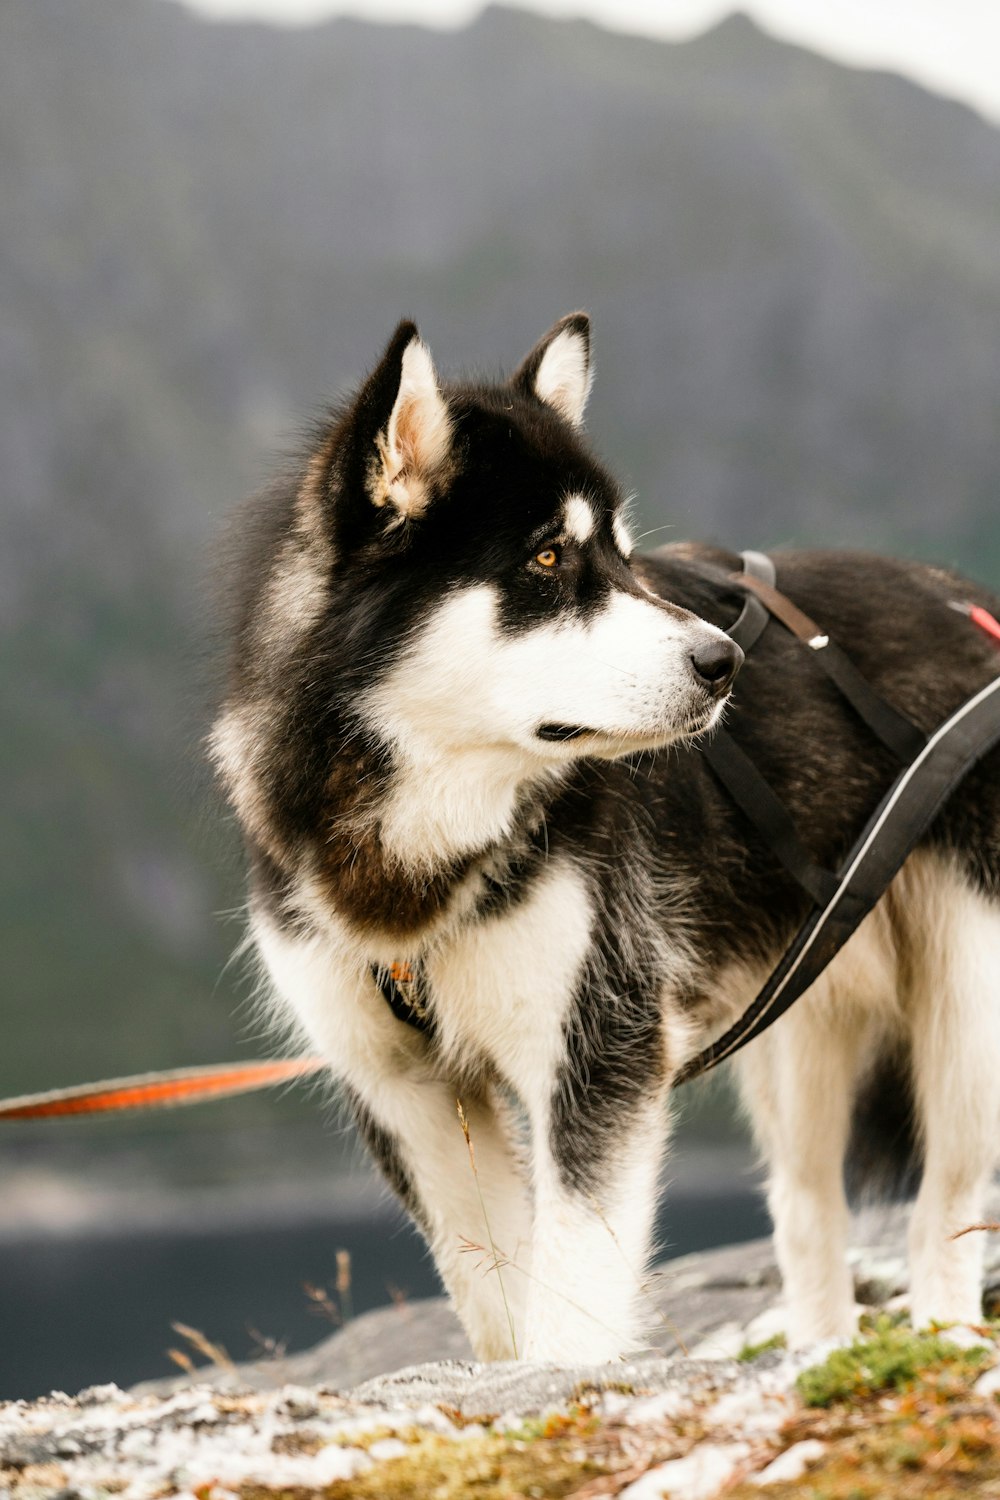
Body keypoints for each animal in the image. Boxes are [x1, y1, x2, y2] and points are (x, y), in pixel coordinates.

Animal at [212, 313, 1000, 1362]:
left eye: (626, 557)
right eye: (550, 559)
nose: (725, 660)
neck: (430, 843)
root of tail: (977, 611)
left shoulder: (599, 1048)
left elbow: (574, 1297)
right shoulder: (402, 1090)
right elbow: (497, 1297)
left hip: (968, 1015)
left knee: (942, 1211)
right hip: (799, 1033)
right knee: (806, 1212)